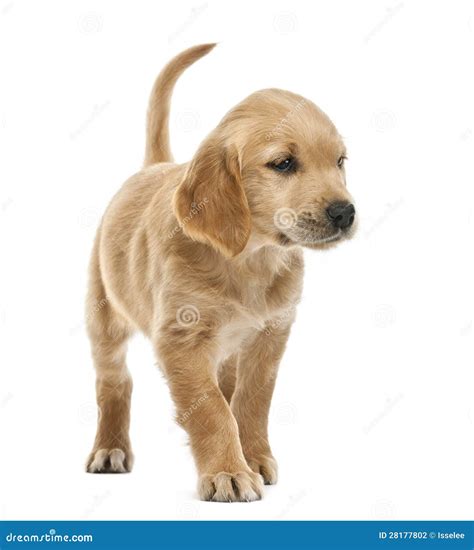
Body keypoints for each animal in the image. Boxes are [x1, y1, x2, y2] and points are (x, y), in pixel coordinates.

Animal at [86, 44, 356, 504]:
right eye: (283, 163)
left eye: (340, 162)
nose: (345, 212)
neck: (249, 258)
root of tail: (153, 167)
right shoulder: (181, 338)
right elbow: (211, 409)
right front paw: (228, 472)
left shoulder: (271, 335)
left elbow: (251, 401)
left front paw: (254, 458)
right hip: (104, 317)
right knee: (114, 382)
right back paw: (110, 448)